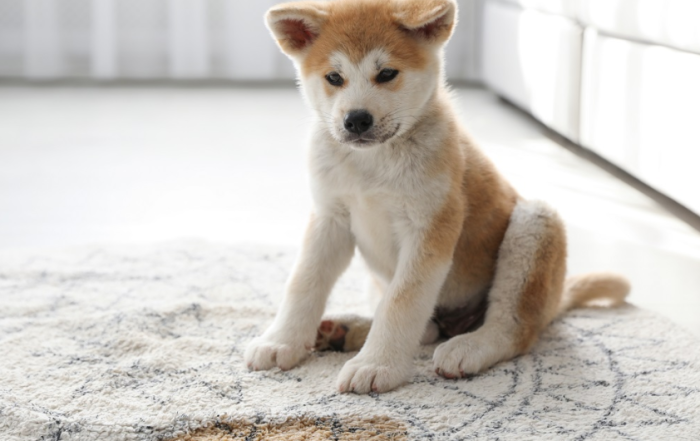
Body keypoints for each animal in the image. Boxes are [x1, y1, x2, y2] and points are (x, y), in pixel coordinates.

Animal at [244, 0, 630, 394]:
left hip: (535, 222)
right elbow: (303, 283)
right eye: (334, 78)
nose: (356, 120)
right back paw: (345, 330)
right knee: (427, 328)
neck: (372, 164)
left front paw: (377, 364)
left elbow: (402, 302)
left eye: (387, 74)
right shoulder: (329, 218)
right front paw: (282, 341)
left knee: (513, 327)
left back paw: (468, 347)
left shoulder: (429, 227)